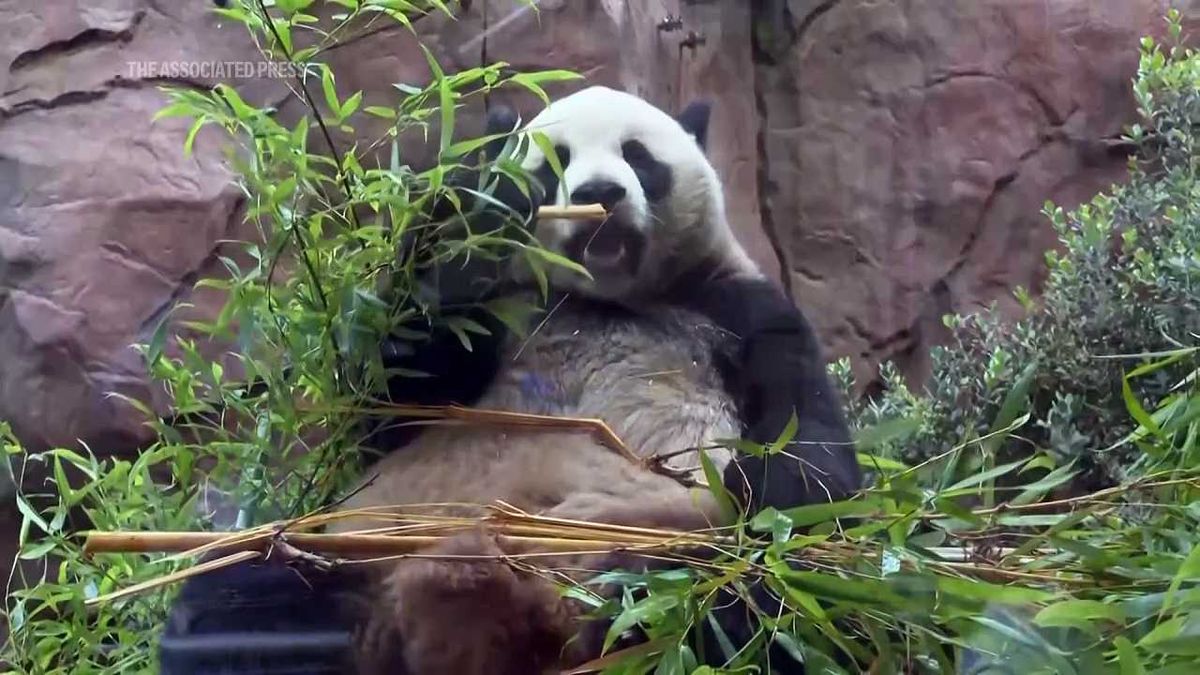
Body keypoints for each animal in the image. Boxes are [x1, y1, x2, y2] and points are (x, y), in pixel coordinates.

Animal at [158, 86, 862, 675]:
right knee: (240, 601)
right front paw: (474, 201)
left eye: (638, 155)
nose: (600, 192)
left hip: (657, 548)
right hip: (362, 548)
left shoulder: (737, 312)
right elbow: (392, 402)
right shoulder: (495, 318)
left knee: (756, 604)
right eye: (555, 162)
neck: (602, 301)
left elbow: (809, 457)